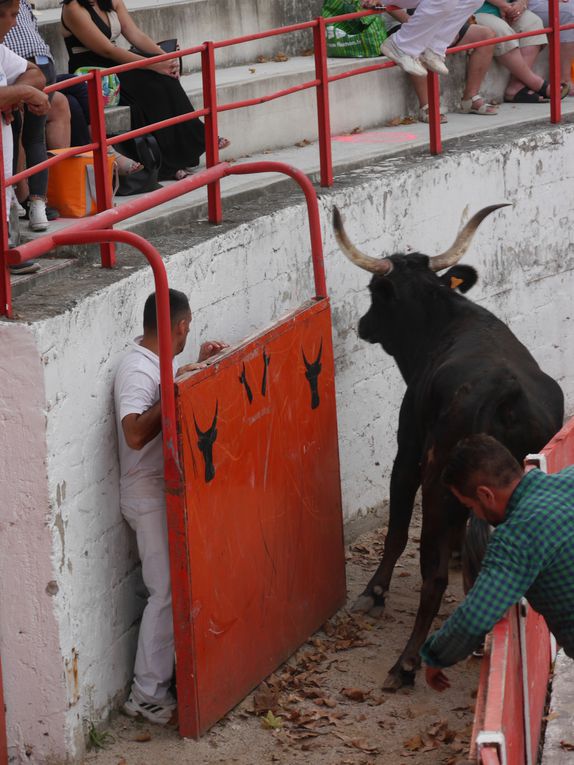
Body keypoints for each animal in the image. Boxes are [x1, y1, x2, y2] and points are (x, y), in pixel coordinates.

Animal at [336, 206, 564, 688]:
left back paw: (404, 664)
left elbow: (397, 531)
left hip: (438, 484)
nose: (364, 326)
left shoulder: (407, 456)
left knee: (432, 576)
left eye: (376, 294)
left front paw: (374, 592)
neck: (443, 320)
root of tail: (508, 393)